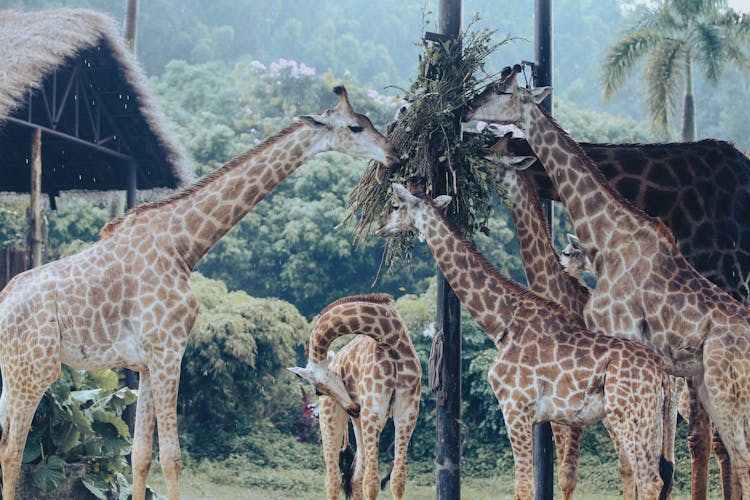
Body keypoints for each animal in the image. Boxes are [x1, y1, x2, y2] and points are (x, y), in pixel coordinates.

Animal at [0, 86, 400, 500]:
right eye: (355, 127)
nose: (394, 155)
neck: (183, 247)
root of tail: (3, 304)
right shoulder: (169, 351)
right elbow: (172, 458)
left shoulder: (146, 363)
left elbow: (140, 456)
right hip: (35, 369)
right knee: (14, 450)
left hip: (11, 373)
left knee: (4, 446)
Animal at [290, 292, 424, 500]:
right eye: (318, 391)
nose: (353, 407)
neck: (390, 338)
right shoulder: (374, 410)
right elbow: (372, 482)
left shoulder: (407, 411)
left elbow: (397, 480)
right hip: (333, 419)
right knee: (334, 479)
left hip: (362, 422)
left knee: (355, 477)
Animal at [376, 184, 676, 500]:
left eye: (395, 206)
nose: (381, 228)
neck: (502, 322)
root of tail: (661, 375)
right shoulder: (536, 415)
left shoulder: (515, 407)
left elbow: (523, 486)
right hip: (649, 420)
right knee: (653, 477)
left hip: (628, 416)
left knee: (649, 480)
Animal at [468, 65, 750, 496]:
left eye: (501, 89)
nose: (467, 109)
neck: (609, 234)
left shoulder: (623, 345)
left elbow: (630, 464)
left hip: (719, 384)